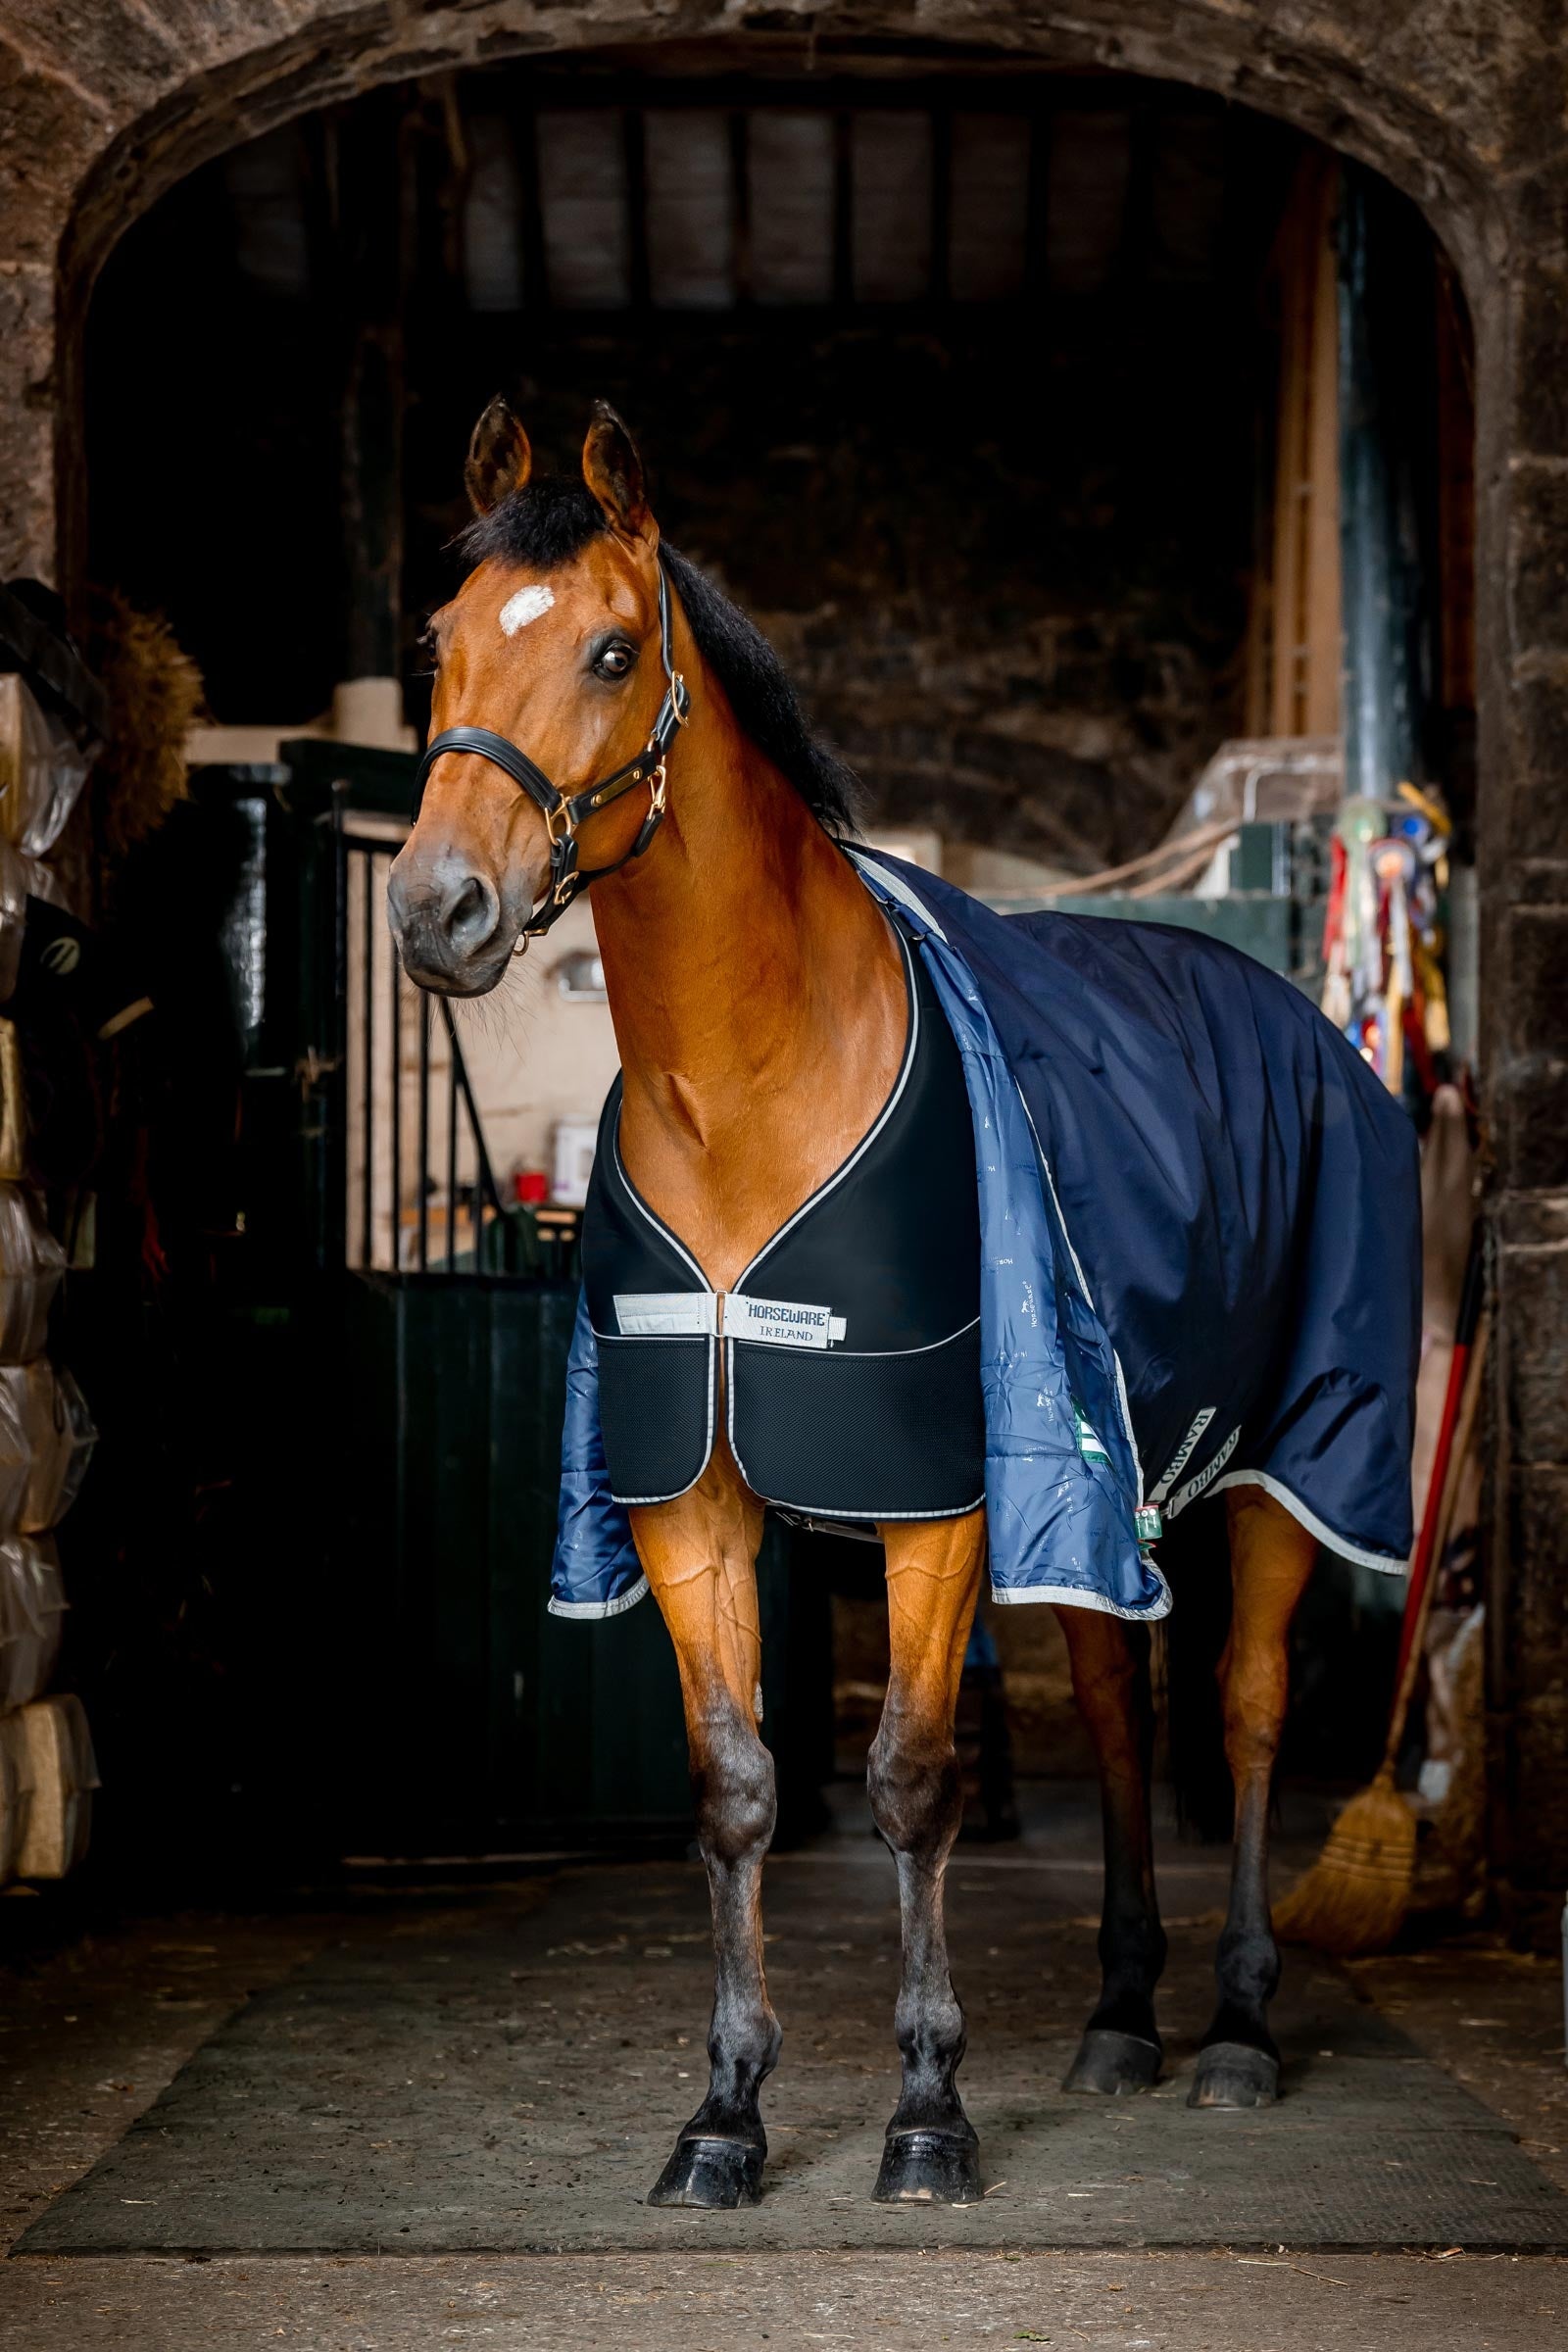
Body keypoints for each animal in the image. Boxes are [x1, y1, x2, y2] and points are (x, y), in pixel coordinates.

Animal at [387, 397, 1416, 2209]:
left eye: (609, 648)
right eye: (437, 647)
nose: (436, 909)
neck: (753, 1087)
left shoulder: (935, 1503)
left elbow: (914, 1780)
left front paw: (928, 2108)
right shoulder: (688, 1502)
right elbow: (737, 1788)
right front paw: (723, 2114)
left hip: (1284, 1474)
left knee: (1244, 1715)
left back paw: (1235, 2030)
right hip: (1108, 1501)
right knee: (1126, 1716)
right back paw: (1121, 2016)